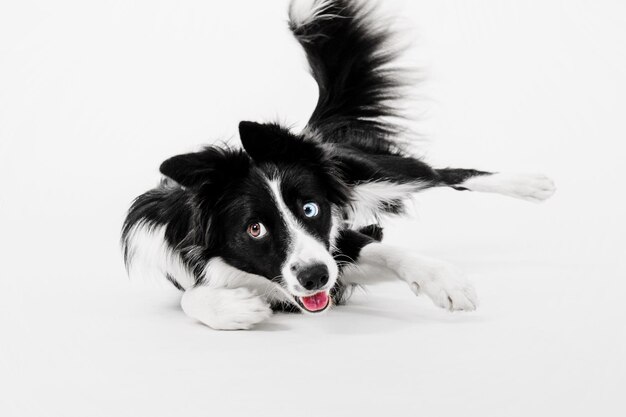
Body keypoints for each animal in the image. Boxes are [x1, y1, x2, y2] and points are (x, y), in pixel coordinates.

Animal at [119, 0, 552, 330]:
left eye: (310, 208)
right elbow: (190, 297)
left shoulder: (336, 246)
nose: (316, 276)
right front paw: (234, 307)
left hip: (373, 175)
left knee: (443, 174)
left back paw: (533, 185)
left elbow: (389, 252)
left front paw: (446, 281)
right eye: (254, 228)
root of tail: (309, 136)